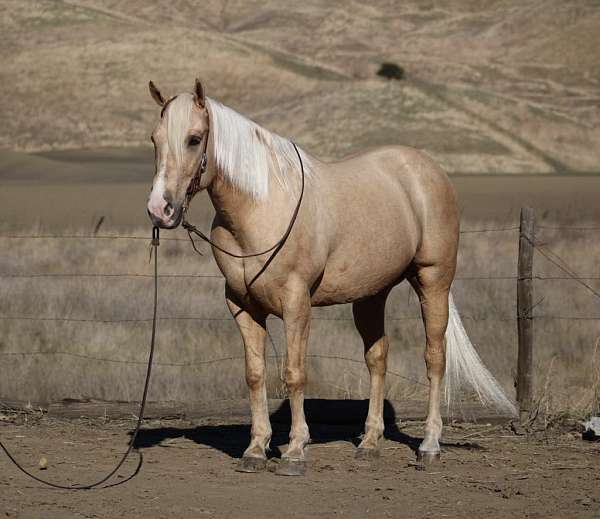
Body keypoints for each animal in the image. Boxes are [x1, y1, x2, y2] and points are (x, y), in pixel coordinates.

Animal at [146, 80, 516, 476]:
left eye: (194, 139)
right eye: (154, 139)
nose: (159, 209)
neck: (262, 207)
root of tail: (427, 169)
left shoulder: (296, 304)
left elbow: (294, 373)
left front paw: (295, 450)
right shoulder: (242, 306)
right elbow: (255, 374)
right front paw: (256, 449)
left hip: (433, 282)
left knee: (435, 357)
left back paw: (429, 446)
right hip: (372, 295)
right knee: (377, 358)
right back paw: (369, 443)